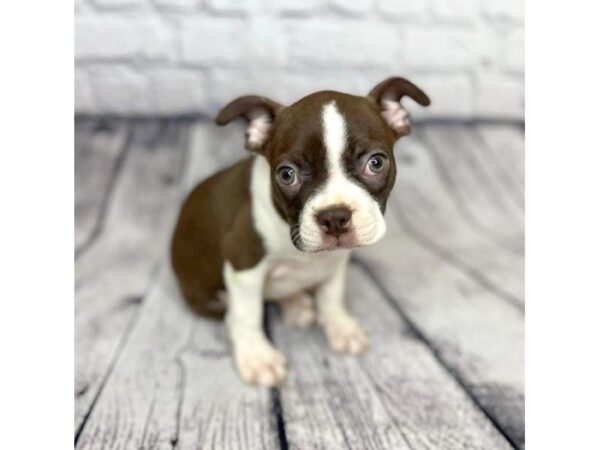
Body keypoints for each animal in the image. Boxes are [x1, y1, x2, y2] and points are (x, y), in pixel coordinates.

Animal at [171, 77, 428, 386]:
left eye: (376, 163)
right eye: (287, 174)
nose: (334, 216)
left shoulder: (336, 261)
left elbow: (331, 295)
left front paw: (340, 326)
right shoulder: (243, 263)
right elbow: (247, 314)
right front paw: (258, 357)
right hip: (205, 295)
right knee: (232, 313)